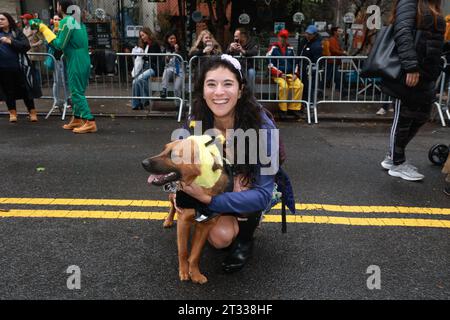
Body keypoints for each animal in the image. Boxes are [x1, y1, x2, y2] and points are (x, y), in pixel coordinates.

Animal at [142, 136, 230, 284]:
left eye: (173, 155)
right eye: (163, 149)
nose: (143, 163)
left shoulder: (206, 226)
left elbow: (195, 254)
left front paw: (194, 273)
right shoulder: (183, 222)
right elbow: (183, 251)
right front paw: (183, 272)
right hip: (172, 195)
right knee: (172, 206)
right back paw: (168, 220)